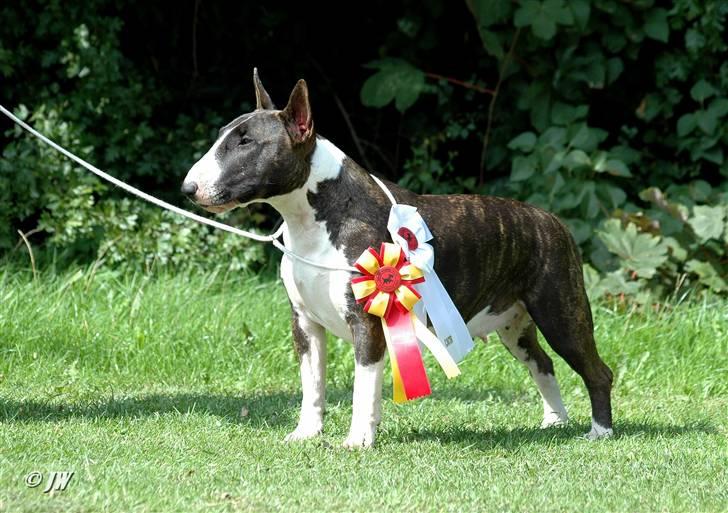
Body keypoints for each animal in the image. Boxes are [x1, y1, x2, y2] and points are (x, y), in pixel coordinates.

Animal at [182, 70, 616, 446]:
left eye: (246, 142)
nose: (188, 187)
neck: (312, 218)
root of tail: (552, 220)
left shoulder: (366, 321)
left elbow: (363, 386)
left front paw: (358, 440)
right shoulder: (304, 322)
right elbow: (312, 384)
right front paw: (305, 433)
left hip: (560, 311)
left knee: (596, 370)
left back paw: (599, 431)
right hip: (514, 324)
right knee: (542, 363)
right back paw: (554, 421)